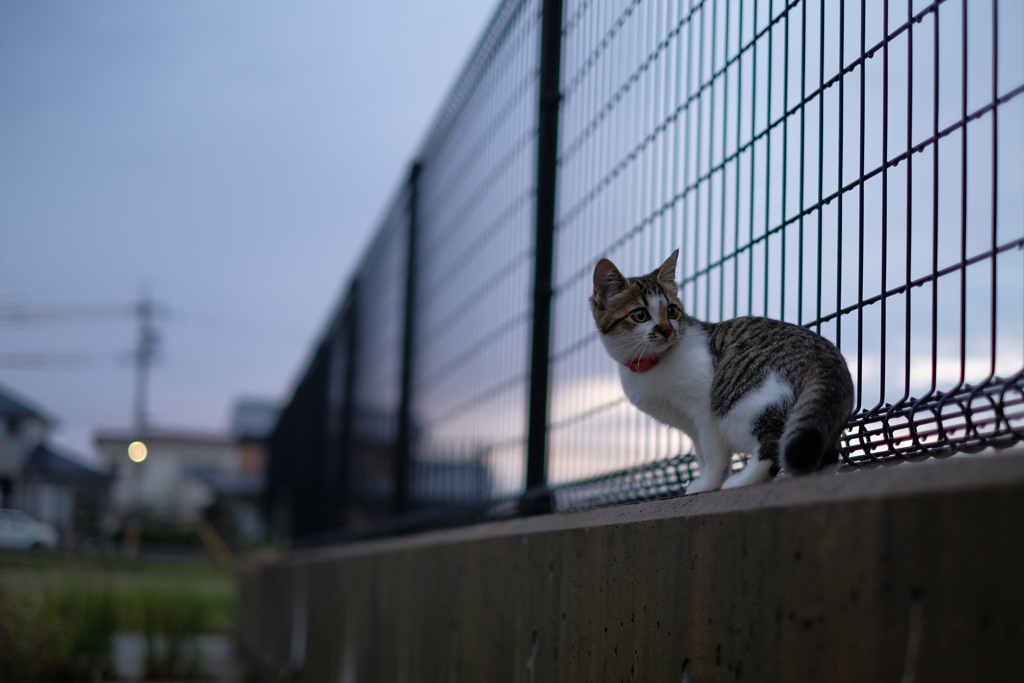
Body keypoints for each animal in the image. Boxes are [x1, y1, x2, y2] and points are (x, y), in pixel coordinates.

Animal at [589, 249, 851, 491]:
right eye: (640, 315)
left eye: (671, 311)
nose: (667, 330)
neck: (649, 364)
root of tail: (827, 356)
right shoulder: (691, 425)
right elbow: (702, 453)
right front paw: (709, 478)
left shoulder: (705, 409)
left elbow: (713, 453)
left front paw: (709, 483)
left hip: (740, 405)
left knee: (774, 443)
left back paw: (740, 482)